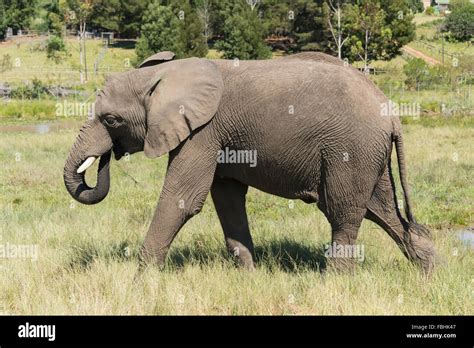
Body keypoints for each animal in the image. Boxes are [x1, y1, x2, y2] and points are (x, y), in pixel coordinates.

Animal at [64, 51, 436, 274]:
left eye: (112, 120)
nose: (107, 156)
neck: (168, 71)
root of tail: (392, 114)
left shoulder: (203, 131)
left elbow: (183, 199)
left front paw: (142, 280)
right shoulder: (219, 140)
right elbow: (227, 198)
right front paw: (248, 275)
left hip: (350, 150)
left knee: (343, 212)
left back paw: (335, 282)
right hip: (368, 155)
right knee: (382, 210)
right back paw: (428, 272)